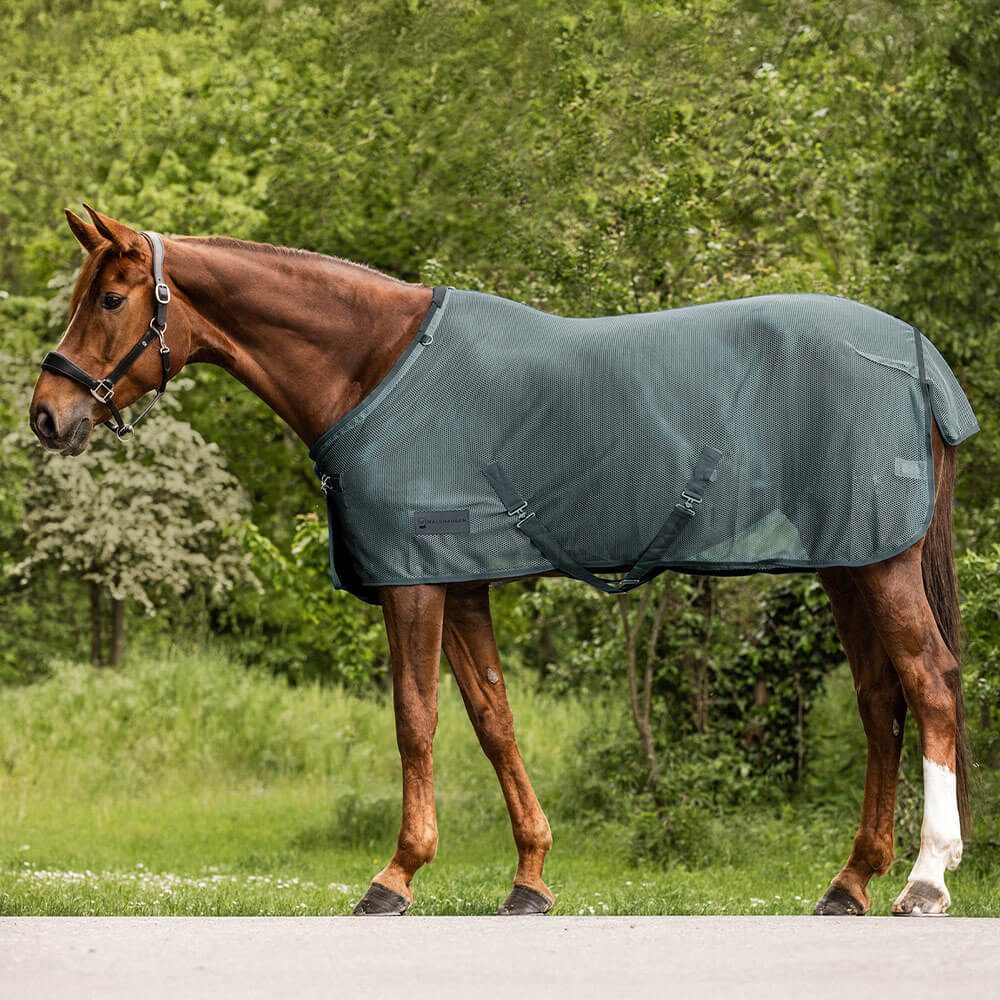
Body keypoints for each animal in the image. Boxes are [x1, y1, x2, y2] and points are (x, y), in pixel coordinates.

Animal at [29, 206, 972, 918]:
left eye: (109, 297)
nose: (46, 414)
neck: (376, 366)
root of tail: (918, 357)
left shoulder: (414, 582)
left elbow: (415, 720)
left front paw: (396, 876)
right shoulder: (463, 585)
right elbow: (494, 719)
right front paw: (530, 878)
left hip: (880, 564)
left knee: (927, 681)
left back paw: (926, 879)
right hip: (850, 561)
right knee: (879, 700)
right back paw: (850, 883)